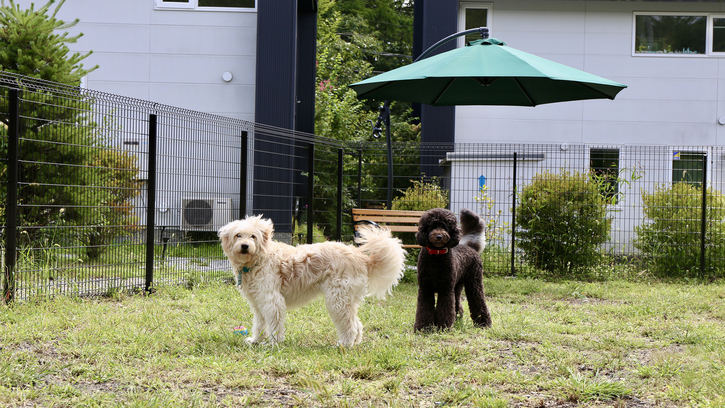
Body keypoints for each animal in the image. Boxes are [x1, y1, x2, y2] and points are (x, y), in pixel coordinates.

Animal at [218, 215, 404, 346]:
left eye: (253, 237)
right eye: (238, 235)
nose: (245, 246)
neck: (259, 260)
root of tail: (361, 257)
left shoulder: (272, 301)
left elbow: (274, 324)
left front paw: (273, 343)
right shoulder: (258, 303)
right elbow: (259, 324)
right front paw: (255, 340)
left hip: (337, 300)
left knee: (349, 325)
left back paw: (344, 344)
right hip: (347, 300)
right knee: (356, 324)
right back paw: (354, 343)